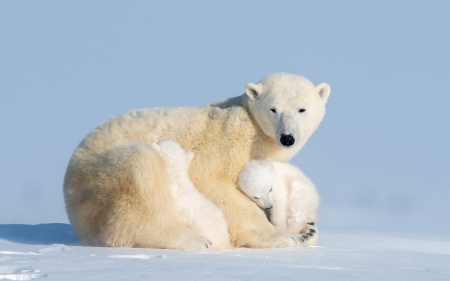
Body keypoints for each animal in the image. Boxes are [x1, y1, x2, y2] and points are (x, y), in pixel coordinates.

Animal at [63, 72, 330, 249]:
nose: (287, 137)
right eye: (273, 109)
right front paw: (284, 237)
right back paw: (195, 240)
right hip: (95, 178)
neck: (254, 133)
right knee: (139, 173)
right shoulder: (224, 143)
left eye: (302, 109)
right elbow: (214, 183)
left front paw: (307, 230)